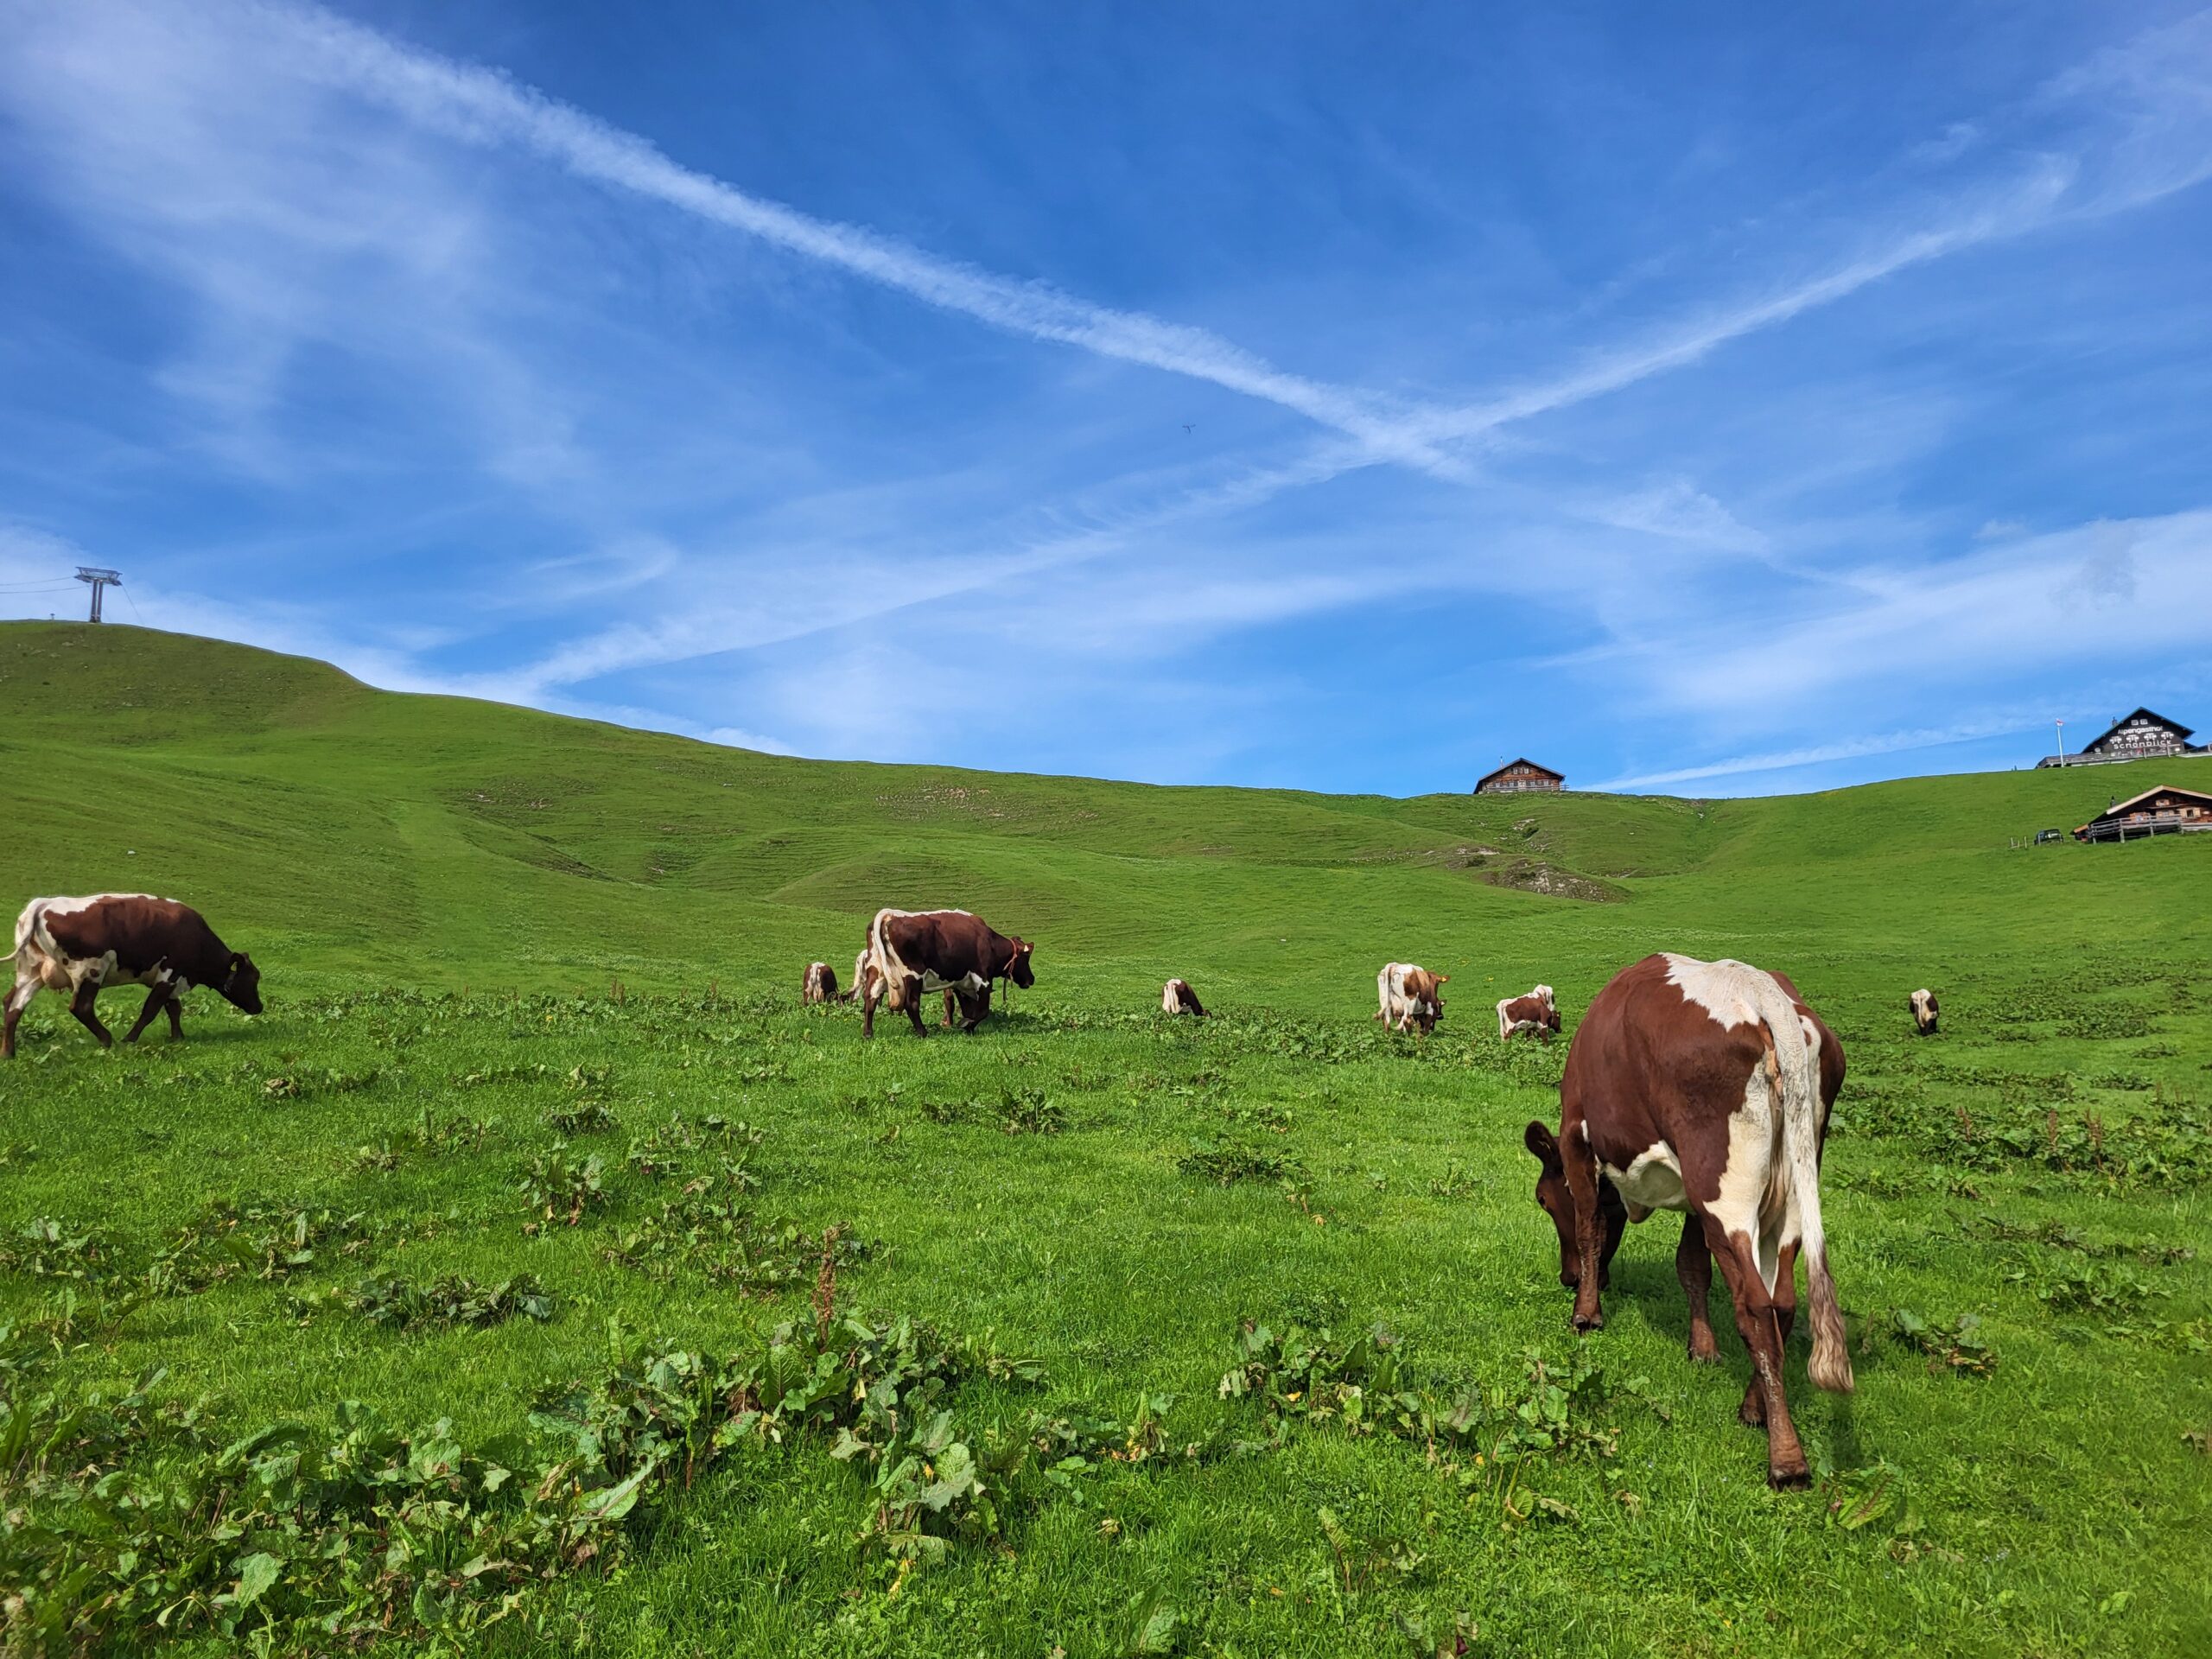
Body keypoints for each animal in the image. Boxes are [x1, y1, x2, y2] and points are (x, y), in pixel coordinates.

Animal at [7, 898, 263, 1065]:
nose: (259, 1007)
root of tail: (42, 904)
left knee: (12, 1006)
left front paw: (177, 1037)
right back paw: (107, 1039)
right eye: (253, 979)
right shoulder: (169, 975)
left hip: (30, 972)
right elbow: (151, 1010)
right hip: (90, 970)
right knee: (81, 1007)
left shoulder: (171, 980)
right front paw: (130, 1039)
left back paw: (7, 1053)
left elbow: (174, 1009)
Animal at [862, 911, 1035, 1039]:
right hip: (913, 974)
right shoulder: (983, 978)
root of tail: (889, 915)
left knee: (870, 998)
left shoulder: (962, 982)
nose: (1032, 979)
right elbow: (982, 1010)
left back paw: (868, 1034)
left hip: (876, 970)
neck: (990, 942)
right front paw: (966, 1025)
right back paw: (923, 1032)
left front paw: (967, 1026)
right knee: (911, 1004)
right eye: (1026, 957)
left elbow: (967, 1008)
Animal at [1522, 955, 1849, 1486]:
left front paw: (1586, 1314)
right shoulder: (1695, 1204)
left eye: (1544, 1200)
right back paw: (1755, 1408)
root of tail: (1761, 991)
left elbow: (1591, 1226)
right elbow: (1692, 1265)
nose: (1568, 1277)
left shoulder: (1576, 1136)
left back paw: (1786, 1458)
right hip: (1790, 1195)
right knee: (1781, 1303)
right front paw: (1703, 1347)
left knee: (1755, 1307)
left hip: (1723, 1192)